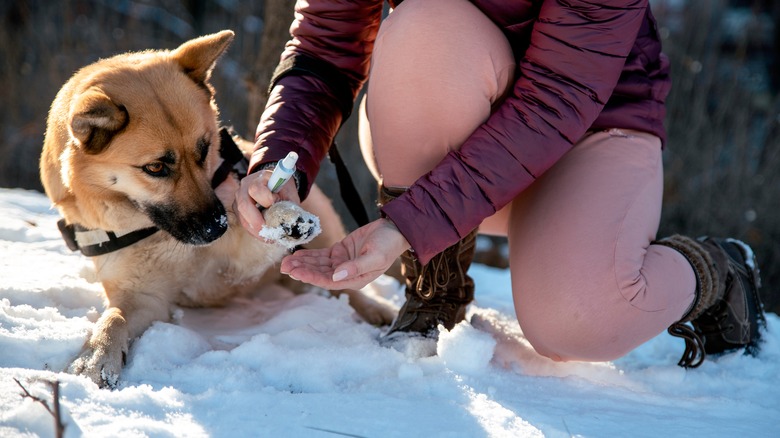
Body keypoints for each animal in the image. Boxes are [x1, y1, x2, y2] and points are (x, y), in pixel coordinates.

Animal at [39, 30, 394, 386]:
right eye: (155, 168)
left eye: (205, 150)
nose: (217, 227)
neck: (156, 232)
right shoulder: (141, 297)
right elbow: (113, 319)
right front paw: (96, 356)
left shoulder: (237, 263)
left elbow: (259, 234)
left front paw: (281, 218)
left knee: (345, 287)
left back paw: (376, 310)